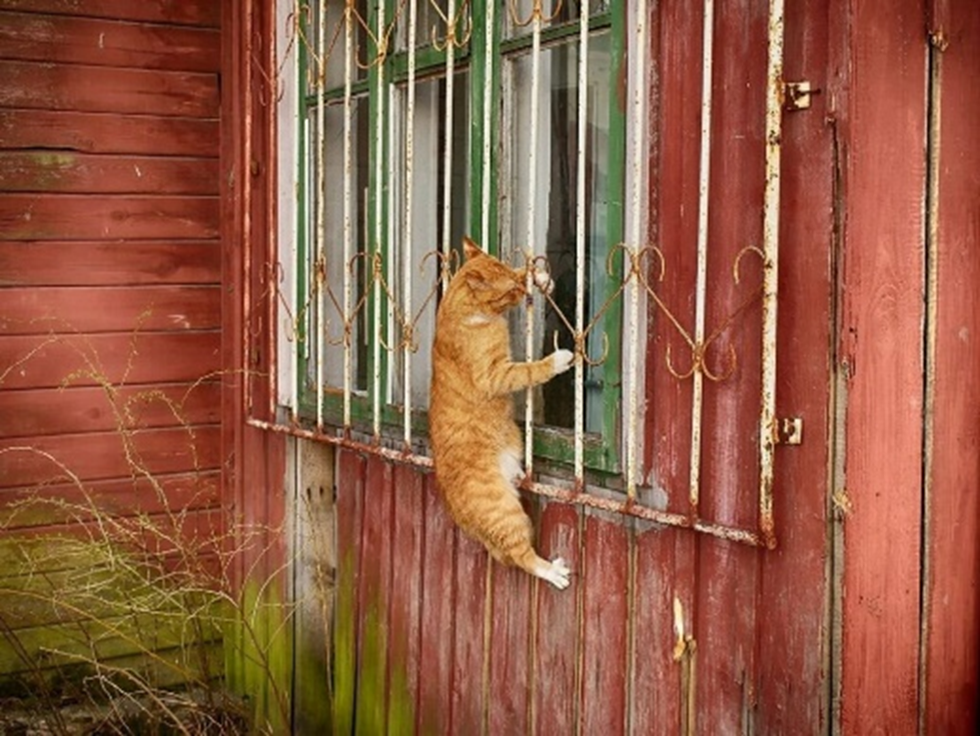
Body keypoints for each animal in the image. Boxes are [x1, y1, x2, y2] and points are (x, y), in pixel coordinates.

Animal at [429, 236, 574, 590]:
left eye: (514, 277)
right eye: (510, 290)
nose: (524, 292)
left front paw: (538, 276)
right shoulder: (496, 375)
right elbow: (530, 370)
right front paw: (556, 360)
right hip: (506, 513)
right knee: (520, 556)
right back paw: (553, 572)